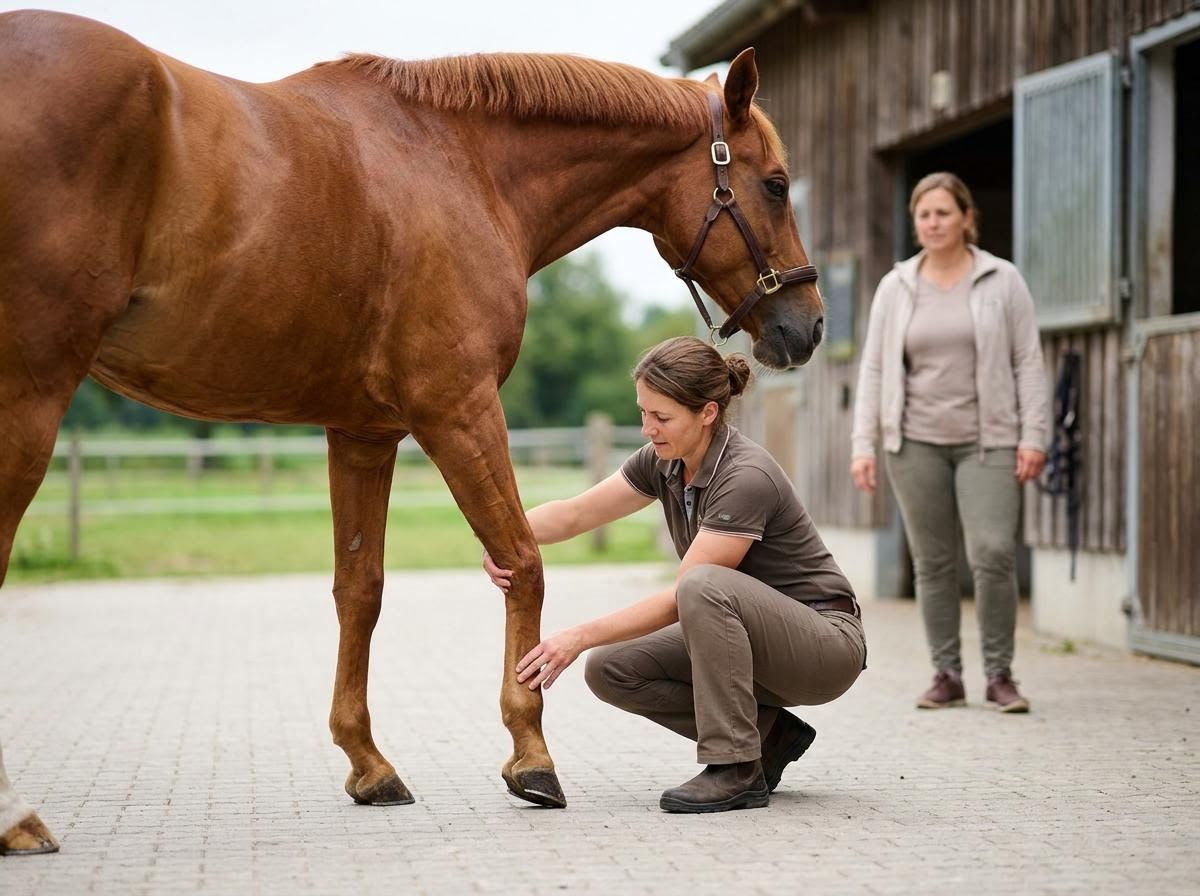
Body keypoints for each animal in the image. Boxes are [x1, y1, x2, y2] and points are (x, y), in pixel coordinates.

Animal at [0, 10, 823, 854]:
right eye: (775, 184)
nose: (808, 325)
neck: (460, 164)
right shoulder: (458, 409)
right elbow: (523, 562)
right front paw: (531, 755)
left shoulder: (363, 433)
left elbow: (360, 589)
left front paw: (369, 765)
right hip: (28, 397)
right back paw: (17, 819)